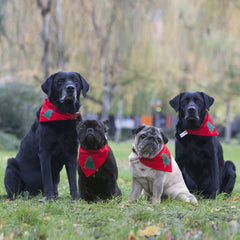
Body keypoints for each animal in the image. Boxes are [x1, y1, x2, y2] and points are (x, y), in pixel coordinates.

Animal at [3, 71, 89, 201]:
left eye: (76, 81)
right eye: (60, 81)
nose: (70, 88)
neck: (63, 117)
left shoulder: (72, 154)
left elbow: (73, 180)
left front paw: (75, 198)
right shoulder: (45, 153)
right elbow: (47, 179)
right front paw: (50, 198)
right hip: (11, 166)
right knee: (14, 194)